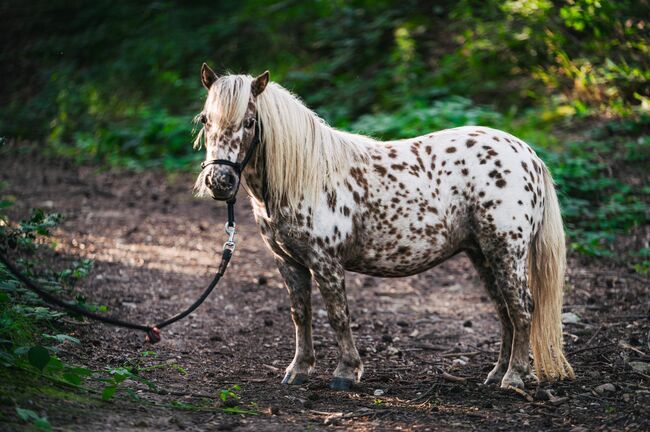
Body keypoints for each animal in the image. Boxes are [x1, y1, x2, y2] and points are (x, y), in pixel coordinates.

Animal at [191, 64, 572, 392]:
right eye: (206, 120)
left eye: (249, 121)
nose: (219, 182)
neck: (303, 177)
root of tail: (527, 155)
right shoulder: (289, 262)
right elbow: (301, 315)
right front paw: (299, 370)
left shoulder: (326, 262)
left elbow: (338, 315)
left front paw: (346, 372)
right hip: (483, 254)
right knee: (505, 311)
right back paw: (497, 374)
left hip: (506, 252)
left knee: (522, 308)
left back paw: (515, 377)